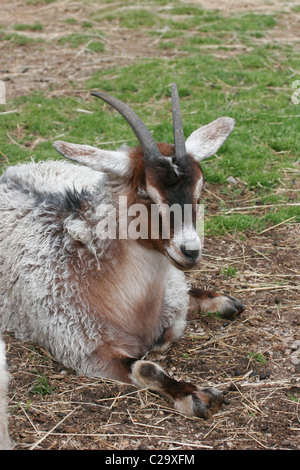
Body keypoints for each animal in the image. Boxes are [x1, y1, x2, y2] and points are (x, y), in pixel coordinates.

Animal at [0, 84, 244, 418]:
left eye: (200, 189)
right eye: (145, 194)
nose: (190, 251)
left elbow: (169, 329)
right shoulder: (82, 348)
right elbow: (147, 366)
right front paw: (195, 395)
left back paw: (224, 301)